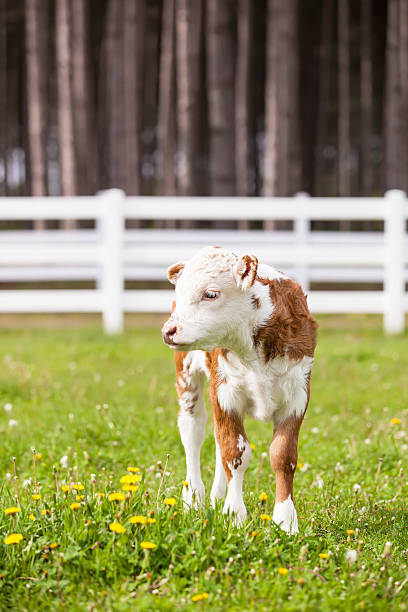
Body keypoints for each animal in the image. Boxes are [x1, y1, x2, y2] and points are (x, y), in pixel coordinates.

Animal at [161, 246, 318, 532]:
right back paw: (194, 499)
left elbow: (283, 455)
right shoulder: (224, 393)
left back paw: (215, 498)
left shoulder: (297, 395)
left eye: (211, 293)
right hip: (186, 375)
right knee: (193, 432)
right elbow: (235, 453)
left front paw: (286, 520)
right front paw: (234, 515)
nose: (169, 330)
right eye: (179, 293)